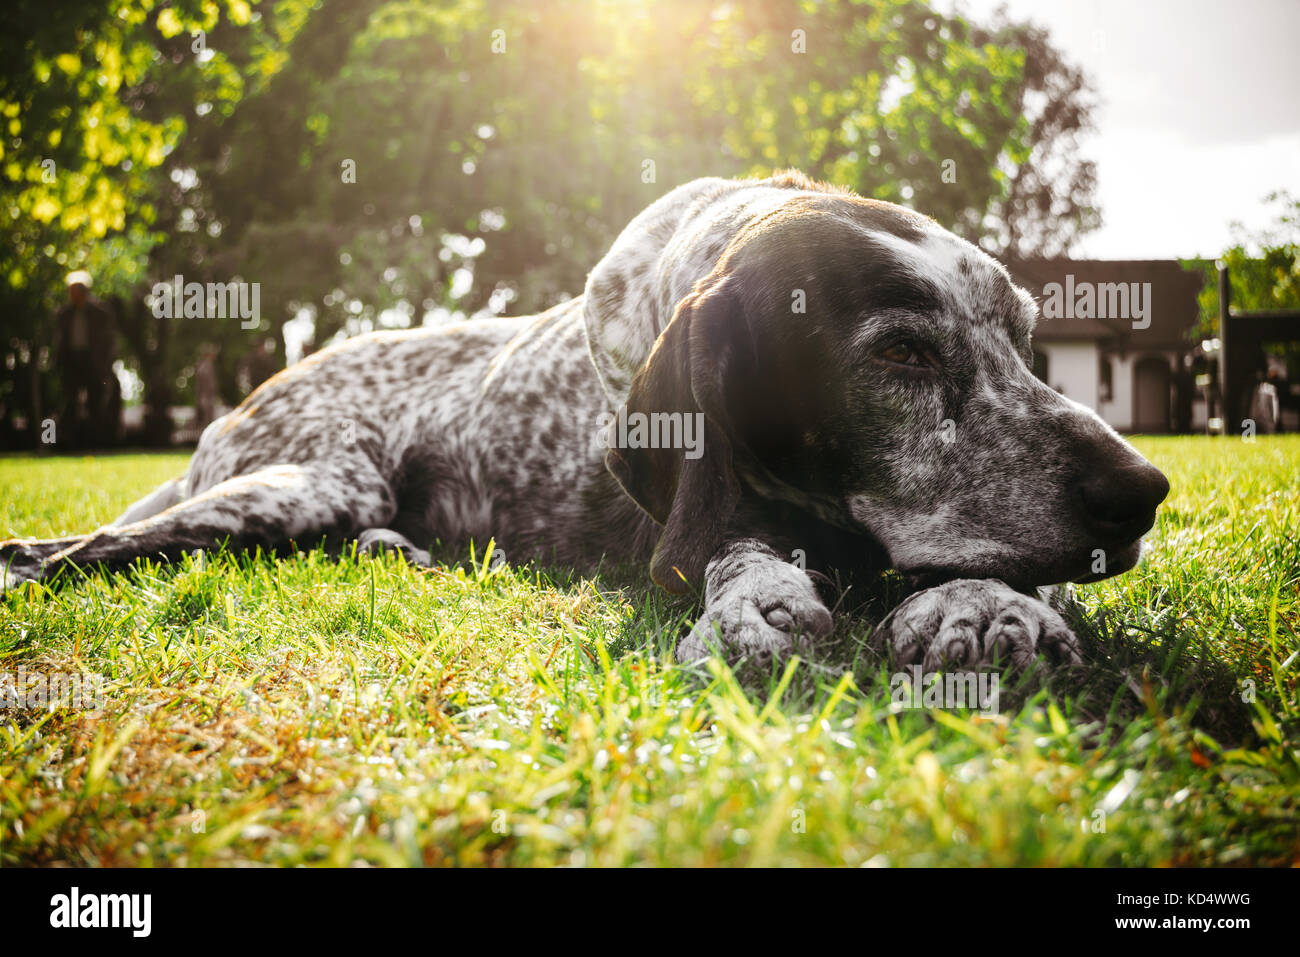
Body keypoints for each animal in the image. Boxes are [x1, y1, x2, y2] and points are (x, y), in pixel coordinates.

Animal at [0, 167, 1175, 670]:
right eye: (899, 353)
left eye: (1025, 339)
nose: (1143, 491)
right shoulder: (696, 515)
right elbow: (728, 550)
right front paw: (754, 604)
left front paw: (986, 604)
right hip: (307, 479)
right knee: (59, 550)